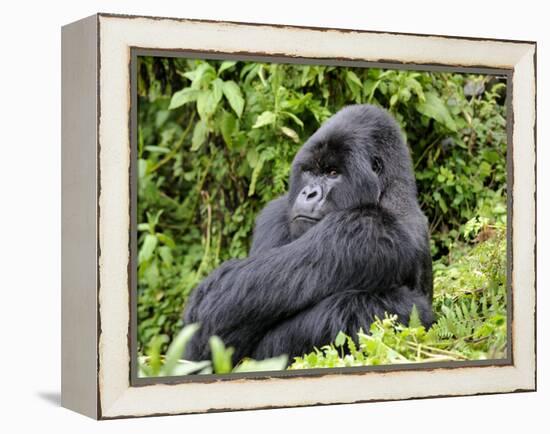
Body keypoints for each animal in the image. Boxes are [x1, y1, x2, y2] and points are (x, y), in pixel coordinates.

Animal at [183, 104, 434, 362]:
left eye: (333, 173)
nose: (309, 193)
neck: (390, 194)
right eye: (310, 171)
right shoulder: (276, 212)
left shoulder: (364, 228)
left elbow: (219, 304)